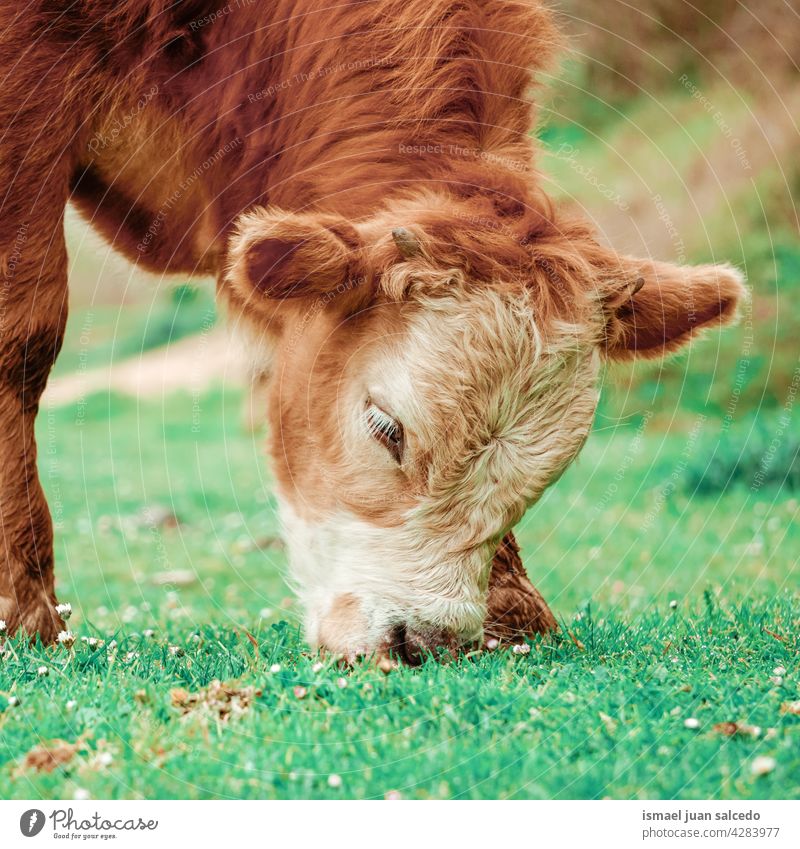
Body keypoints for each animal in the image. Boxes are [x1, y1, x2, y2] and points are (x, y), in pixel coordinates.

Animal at [1, 0, 744, 656]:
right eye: (386, 427)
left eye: (552, 470)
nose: (424, 640)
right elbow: (24, 334)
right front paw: (24, 614)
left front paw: (510, 613)